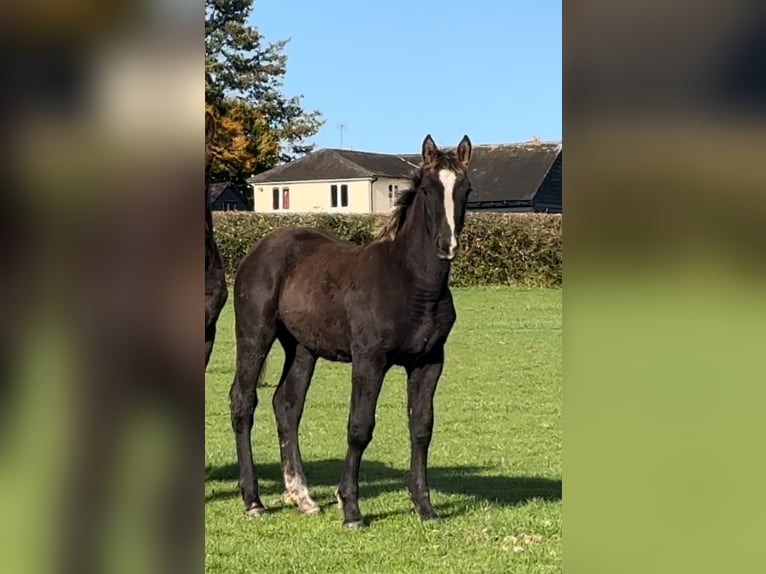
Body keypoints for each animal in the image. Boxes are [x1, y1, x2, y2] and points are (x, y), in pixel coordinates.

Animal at [231, 136, 474, 532]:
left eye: (466, 189)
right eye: (427, 188)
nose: (446, 245)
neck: (412, 283)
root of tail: (261, 247)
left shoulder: (428, 362)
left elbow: (421, 428)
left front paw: (425, 507)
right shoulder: (369, 360)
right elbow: (359, 427)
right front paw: (351, 509)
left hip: (302, 348)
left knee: (286, 405)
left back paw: (303, 497)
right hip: (254, 335)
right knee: (243, 402)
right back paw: (253, 501)